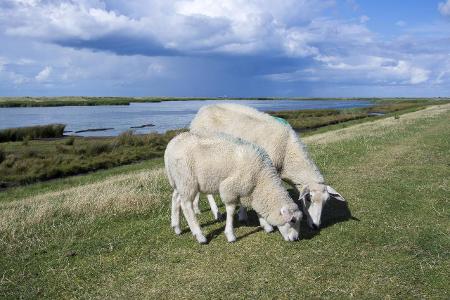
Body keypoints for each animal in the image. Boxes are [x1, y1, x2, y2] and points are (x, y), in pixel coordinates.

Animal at [163, 132, 300, 244]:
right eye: (293, 220)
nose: (295, 239)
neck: (261, 179)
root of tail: (171, 145)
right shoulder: (229, 188)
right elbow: (231, 210)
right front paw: (230, 235)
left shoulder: (250, 190)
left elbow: (255, 207)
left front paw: (265, 225)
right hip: (187, 181)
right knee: (186, 205)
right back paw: (200, 236)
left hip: (179, 180)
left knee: (175, 198)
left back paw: (176, 227)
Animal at [189, 103, 344, 230]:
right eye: (308, 199)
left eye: (326, 201)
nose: (316, 226)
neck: (287, 153)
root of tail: (201, 111)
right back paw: (216, 213)